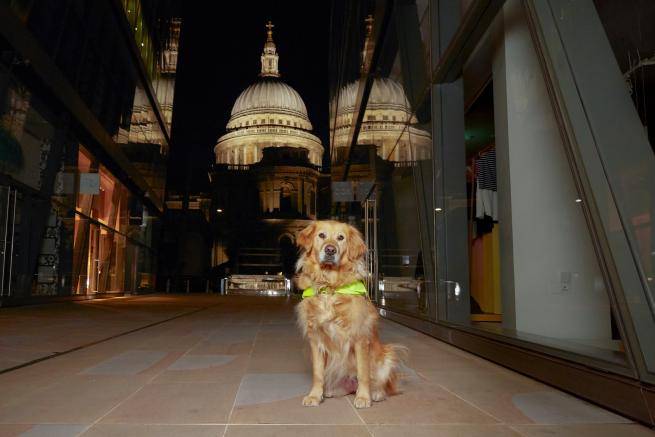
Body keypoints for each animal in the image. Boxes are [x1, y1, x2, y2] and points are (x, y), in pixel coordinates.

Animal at [296, 220, 404, 408]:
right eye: (321, 235)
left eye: (341, 238)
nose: (330, 250)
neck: (329, 286)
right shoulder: (316, 339)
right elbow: (318, 373)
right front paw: (315, 396)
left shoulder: (359, 337)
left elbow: (363, 373)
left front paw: (364, 397)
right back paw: (332, 391)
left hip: (387, 356)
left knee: (382, 383)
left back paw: (376, 393)